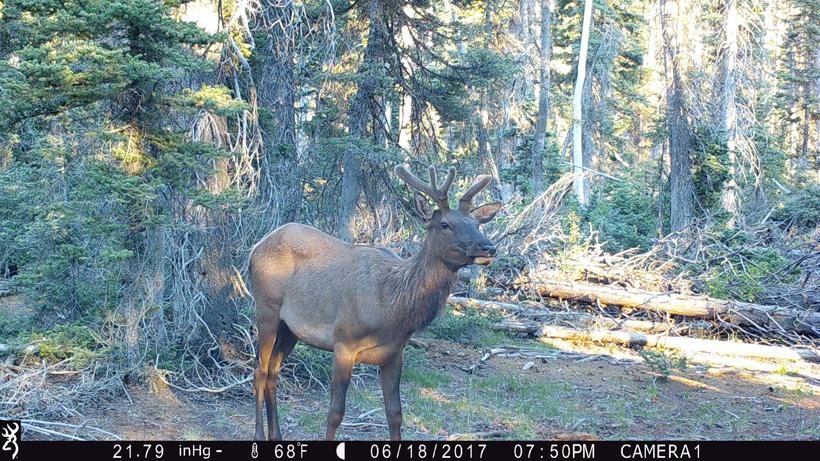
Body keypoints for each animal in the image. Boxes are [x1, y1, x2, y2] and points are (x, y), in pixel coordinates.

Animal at [248, 164, 501, 441]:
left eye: (477, 224)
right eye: (445, 224)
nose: (488, 247)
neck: (392, 308)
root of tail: (256, 246)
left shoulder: (394, 353)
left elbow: (395, 413)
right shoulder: (343, 343)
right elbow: (335, 412)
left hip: (290, 328)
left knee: (273, 372)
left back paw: (277, 436)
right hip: (266, 309)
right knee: (260, 370)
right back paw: (259, 435)